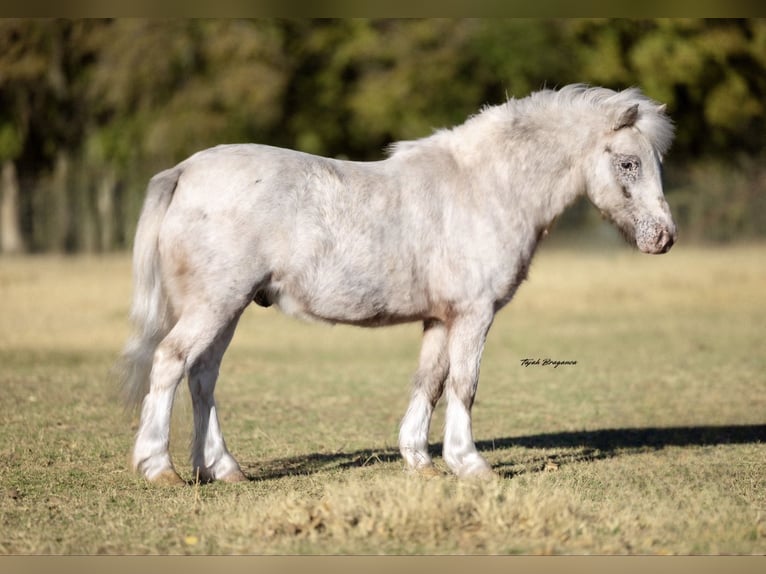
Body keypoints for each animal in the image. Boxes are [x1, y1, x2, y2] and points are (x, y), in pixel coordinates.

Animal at [119, 84, 676, 485]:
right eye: (628, 163)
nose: (664, 237)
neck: (486, 187)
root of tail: (184, 171)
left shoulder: (440, 318)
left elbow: (429, 382)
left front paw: (420, 460)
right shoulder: (474, 314)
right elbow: (464, 384)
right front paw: (470, 464)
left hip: (228, 309)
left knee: (203, 377)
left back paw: (222, 469)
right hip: (215, 305)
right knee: (171, 362)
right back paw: (160, 468)